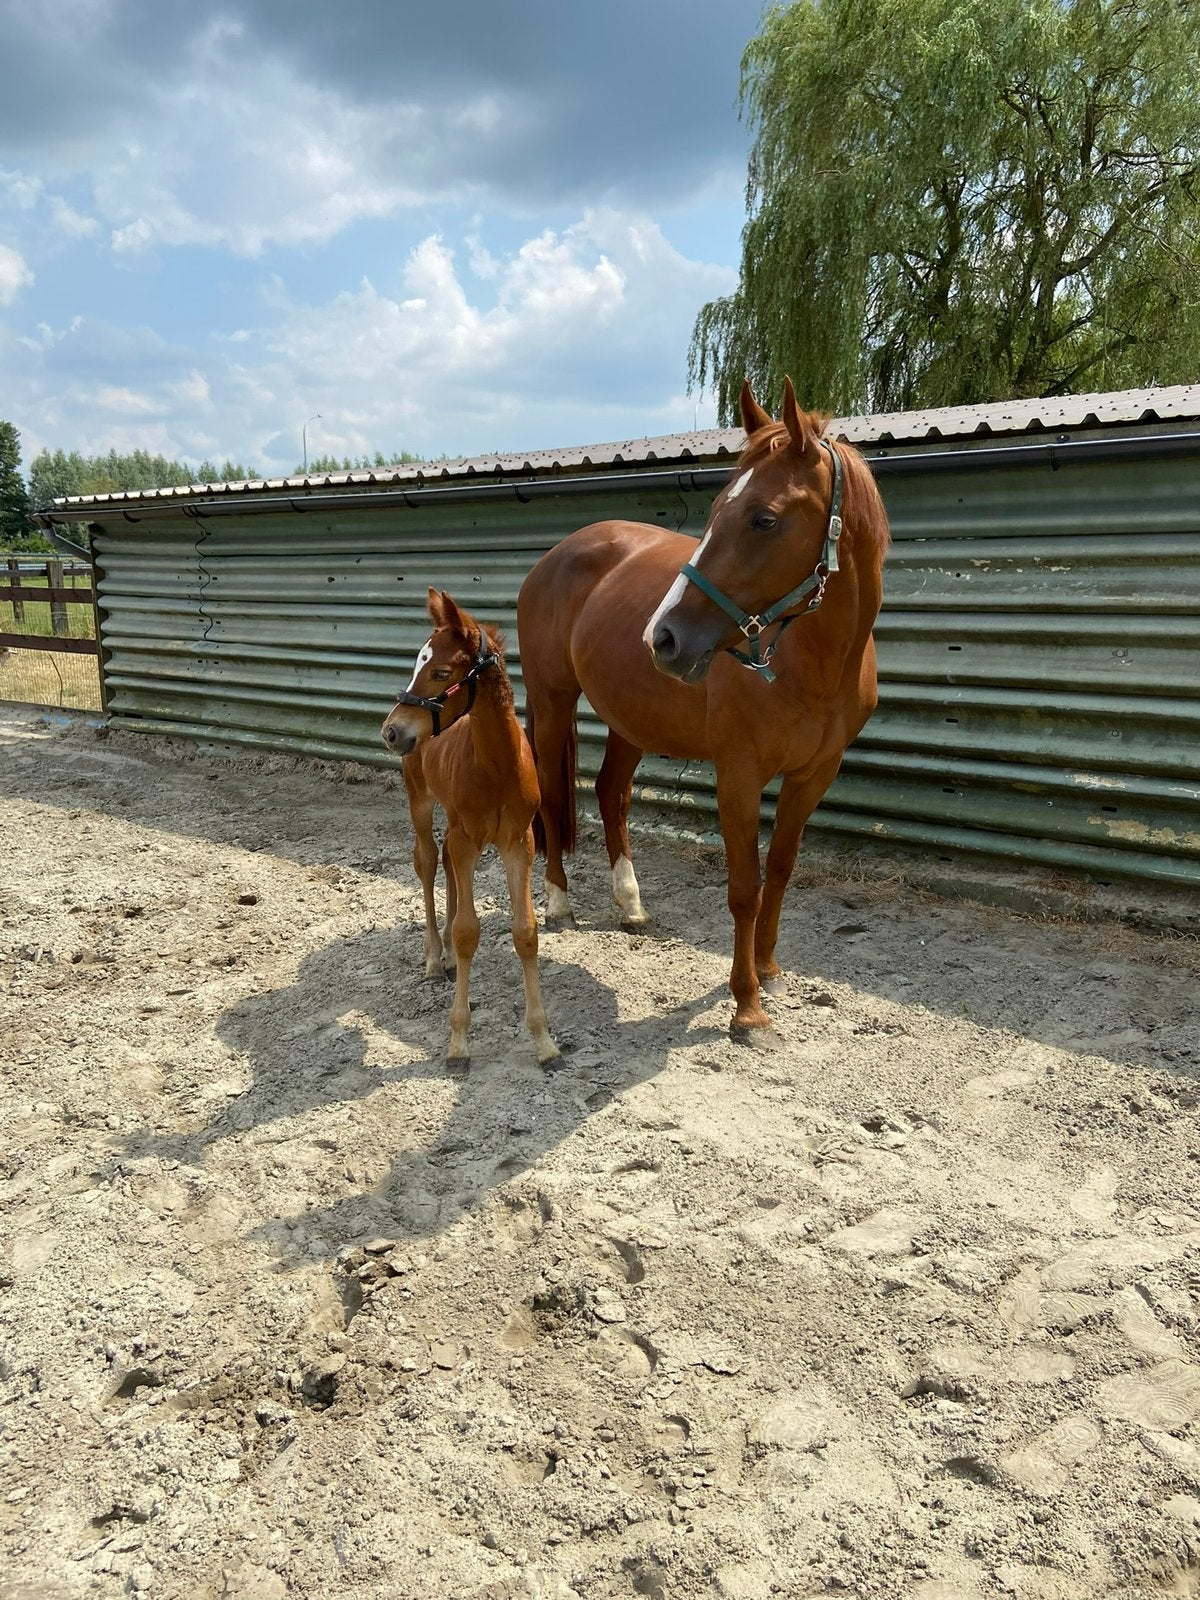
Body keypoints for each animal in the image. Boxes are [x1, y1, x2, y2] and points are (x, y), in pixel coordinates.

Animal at [381, 589, 560, 1066]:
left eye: (441, 672)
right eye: (416, 663)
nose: (391, 731)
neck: (497, 766)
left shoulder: (518, 842)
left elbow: (525, 931)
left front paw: (544, 1041)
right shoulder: (468, 839)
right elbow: (467, 932)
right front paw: (458, 1041)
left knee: (443, 861)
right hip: (421, 800)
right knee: (427, 861)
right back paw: (432, 958)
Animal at [516, 378, 890, 1032]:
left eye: (764, 519)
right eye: (715, 513)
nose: (663, 638)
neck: (812, 665)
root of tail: (557, 554)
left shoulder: (815, 773)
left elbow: (780, 870)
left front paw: (768, 969)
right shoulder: (738, 774)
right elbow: (744, 886)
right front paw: (748, 1007)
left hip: (630, 718)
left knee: (611, 793)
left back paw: (631, 905)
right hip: (553, 700)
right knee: (556, 793)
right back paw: (559, 902)